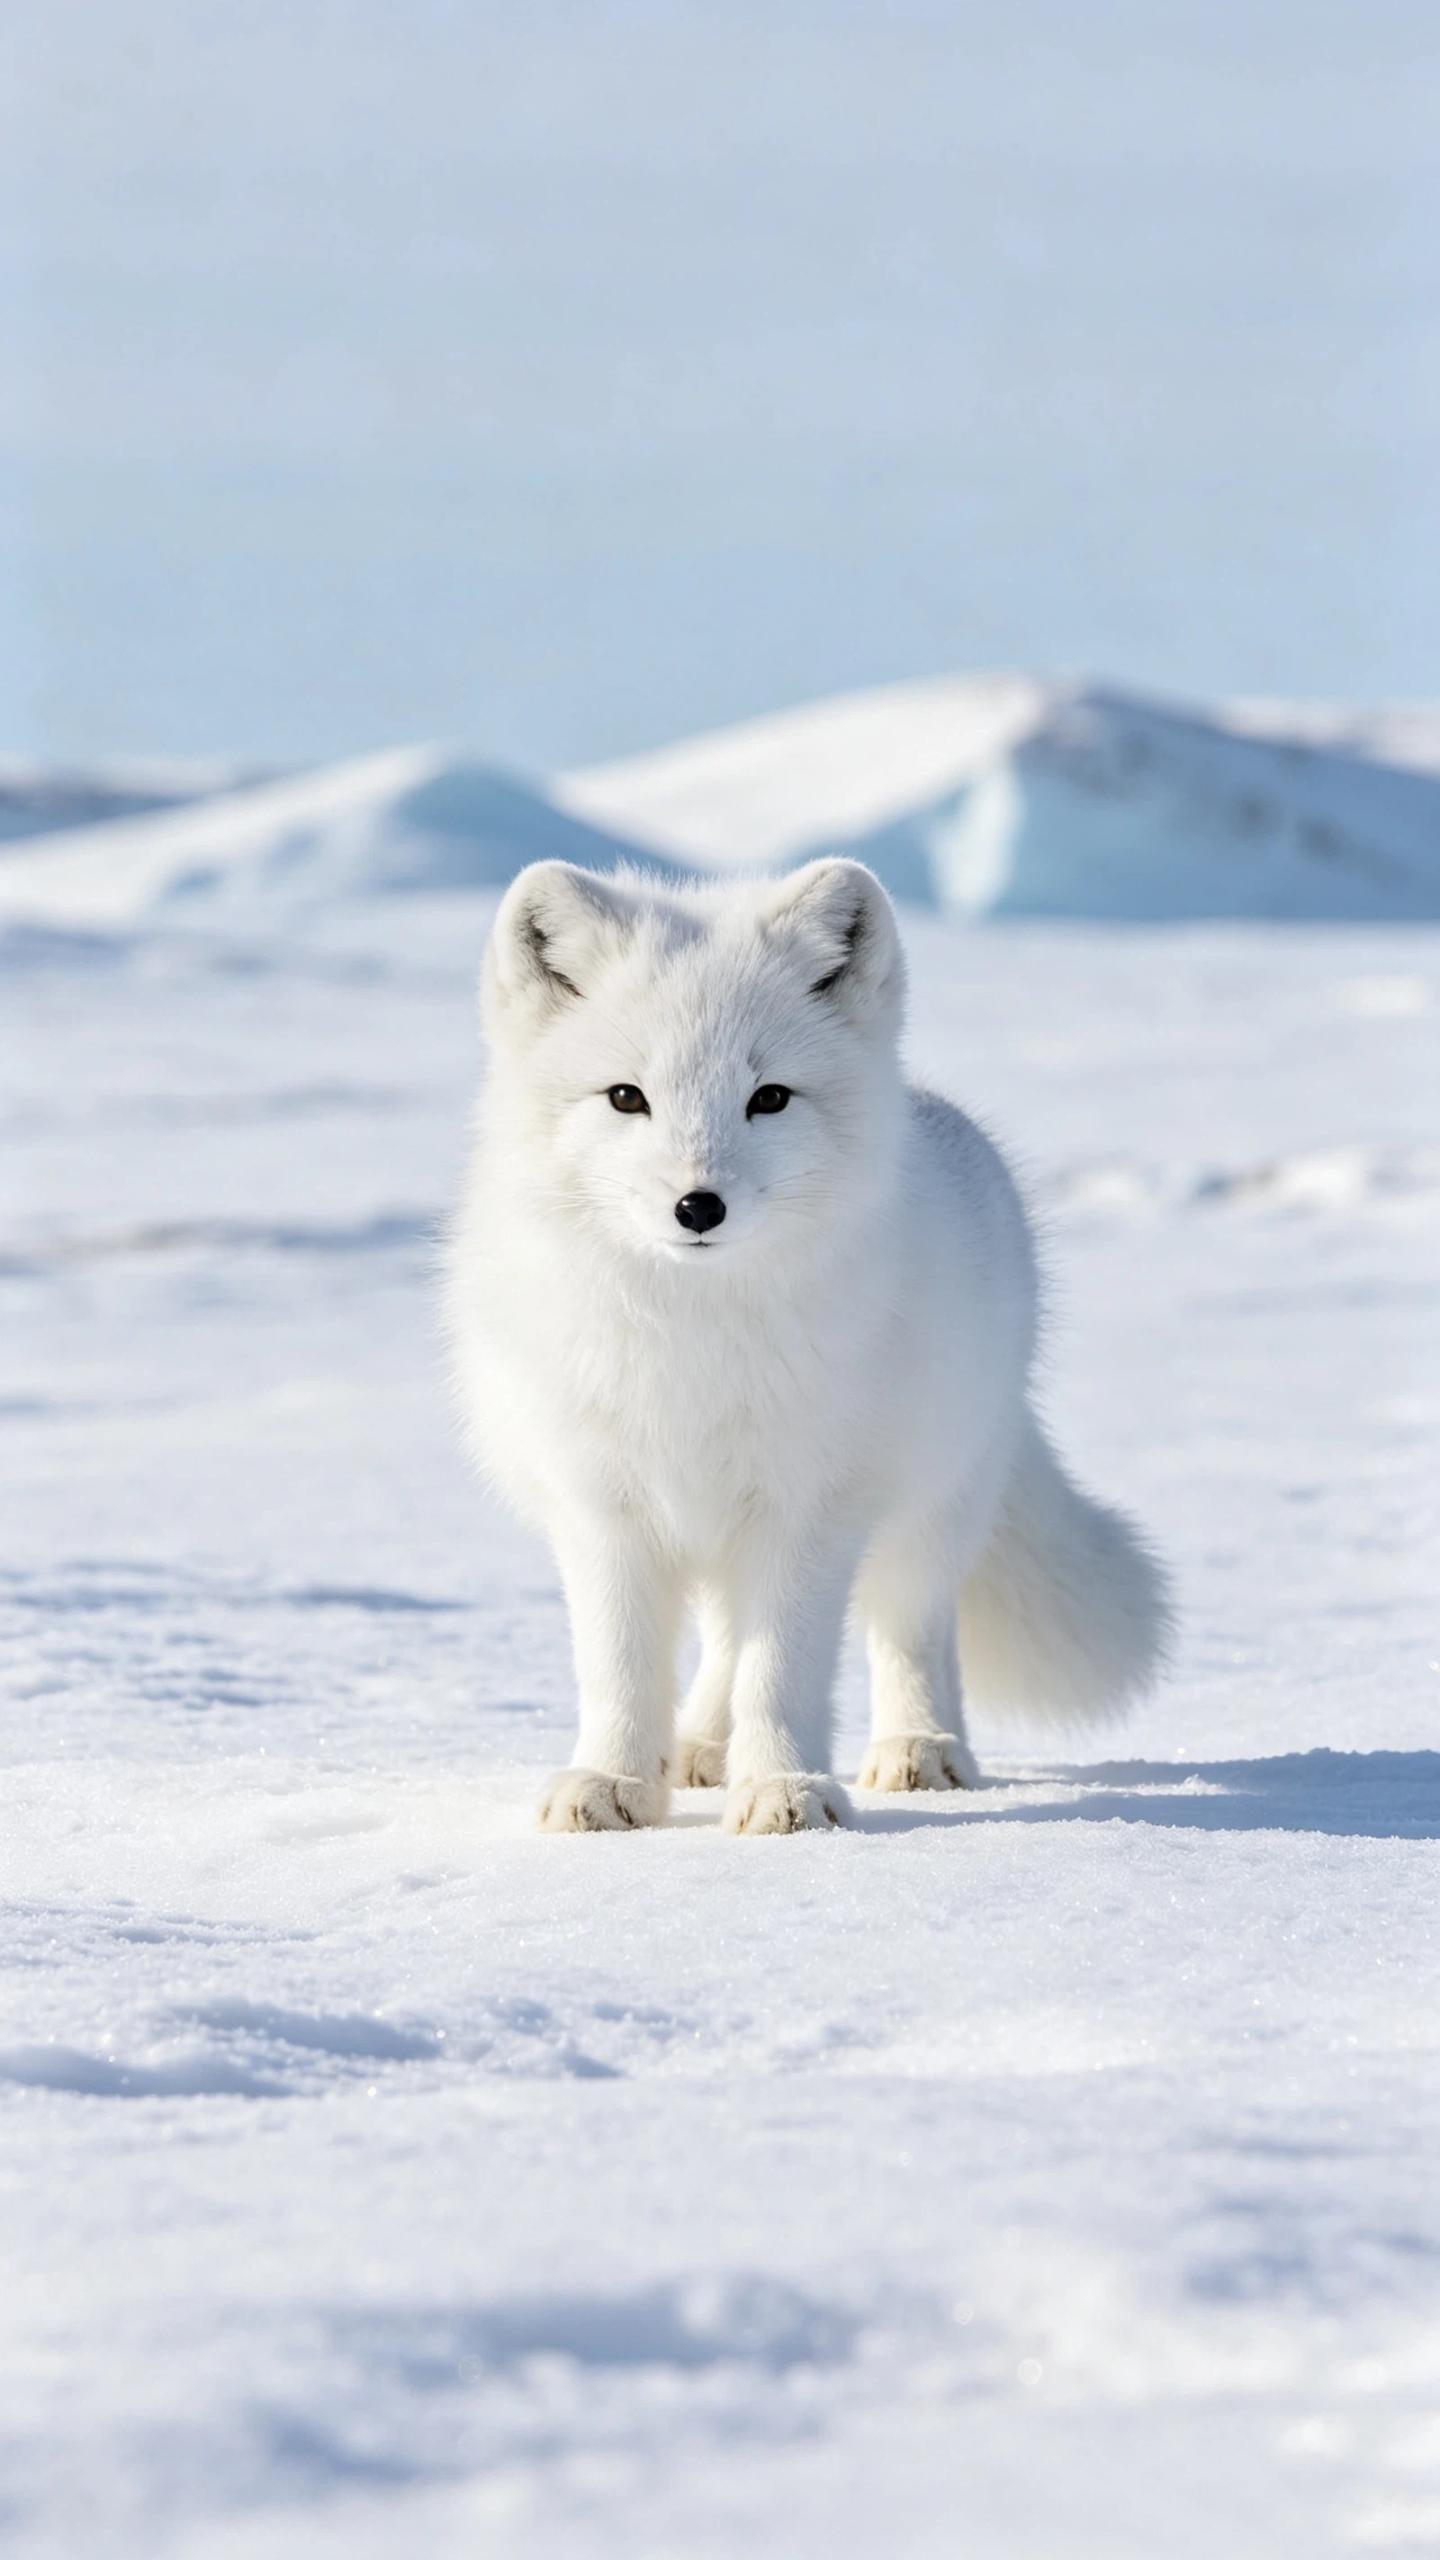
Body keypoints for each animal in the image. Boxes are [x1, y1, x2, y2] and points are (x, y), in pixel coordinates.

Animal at [446, 856, 1172, 1833]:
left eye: (770, 1098)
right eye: (628, 1097)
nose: (698, 1206)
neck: (694, 1340)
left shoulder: (810, 1509)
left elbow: (783, 1669)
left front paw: (782, 1790)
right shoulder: (604, 1508)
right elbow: (622, 1671)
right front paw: (614, 1783)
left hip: (935, 1501)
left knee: (909, 1628)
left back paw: (919, 1750)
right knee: (722, 1639)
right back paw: (701, 1749)